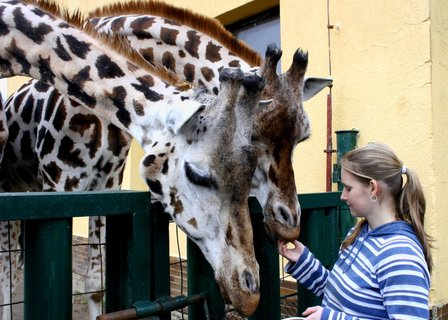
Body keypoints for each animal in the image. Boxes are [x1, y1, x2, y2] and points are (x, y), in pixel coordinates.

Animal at [0, 0, 272, 316]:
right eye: (197, 175)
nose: (249, 294)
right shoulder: (57, 187)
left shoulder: (106, 189)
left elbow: (95, 281)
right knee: (7, 272)